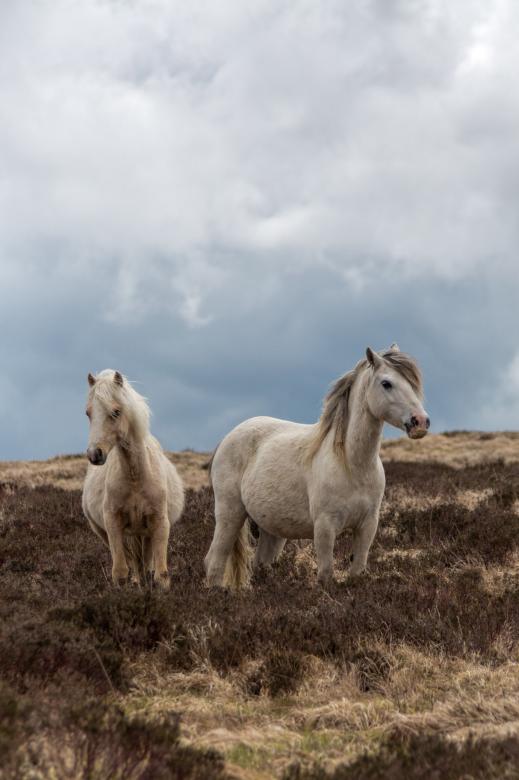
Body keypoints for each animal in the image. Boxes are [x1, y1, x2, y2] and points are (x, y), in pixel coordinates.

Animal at [82, 370, 184, 590]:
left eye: (116, 412)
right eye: (88, 413)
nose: (94, 454)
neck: (136, 477)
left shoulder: (160, 524)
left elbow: (160, 575)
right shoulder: (112, 524)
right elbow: (120, 572)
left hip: (145, 533)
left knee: (144, 565)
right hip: (106, 532)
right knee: (133, 564)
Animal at [205, 345, 429, 589]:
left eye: (412, 384)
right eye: (386, 383)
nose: (420, 422)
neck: (352, 465)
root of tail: (229, 436)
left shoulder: (367, 526)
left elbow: (357, 570)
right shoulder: (324, 527)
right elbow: (326, 573)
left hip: (271, 531)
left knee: (259, 563)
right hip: (230, 514)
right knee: (215, 561)